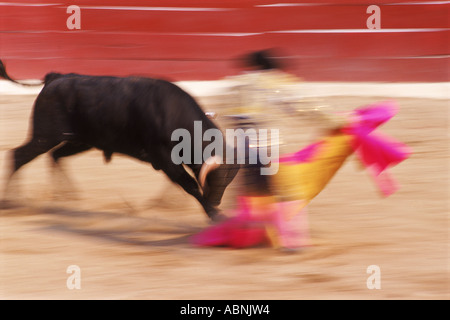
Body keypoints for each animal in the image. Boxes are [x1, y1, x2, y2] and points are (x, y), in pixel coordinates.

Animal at [0, 68, 239, 221]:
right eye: (217, 179)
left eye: (228, 182)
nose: (216, 202)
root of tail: (56, 78)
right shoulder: (165, 160)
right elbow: (189, 185)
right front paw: (215, 215)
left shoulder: (169, 163)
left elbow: (180, 184)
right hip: (45, 136)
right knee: (18, 156)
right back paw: (12, 201)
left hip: (80, 141)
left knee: (55, 156)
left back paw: (67, 197)